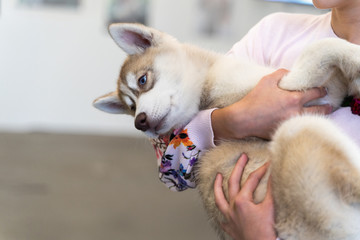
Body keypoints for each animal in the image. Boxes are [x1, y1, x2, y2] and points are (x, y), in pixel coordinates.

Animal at [93, 23, 360, 240]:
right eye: (131, 108)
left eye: (142, 80)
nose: (139, 122)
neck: (206, 85)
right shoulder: (299, 89)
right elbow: (320, 47)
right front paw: (355, 58)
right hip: (298, 128)